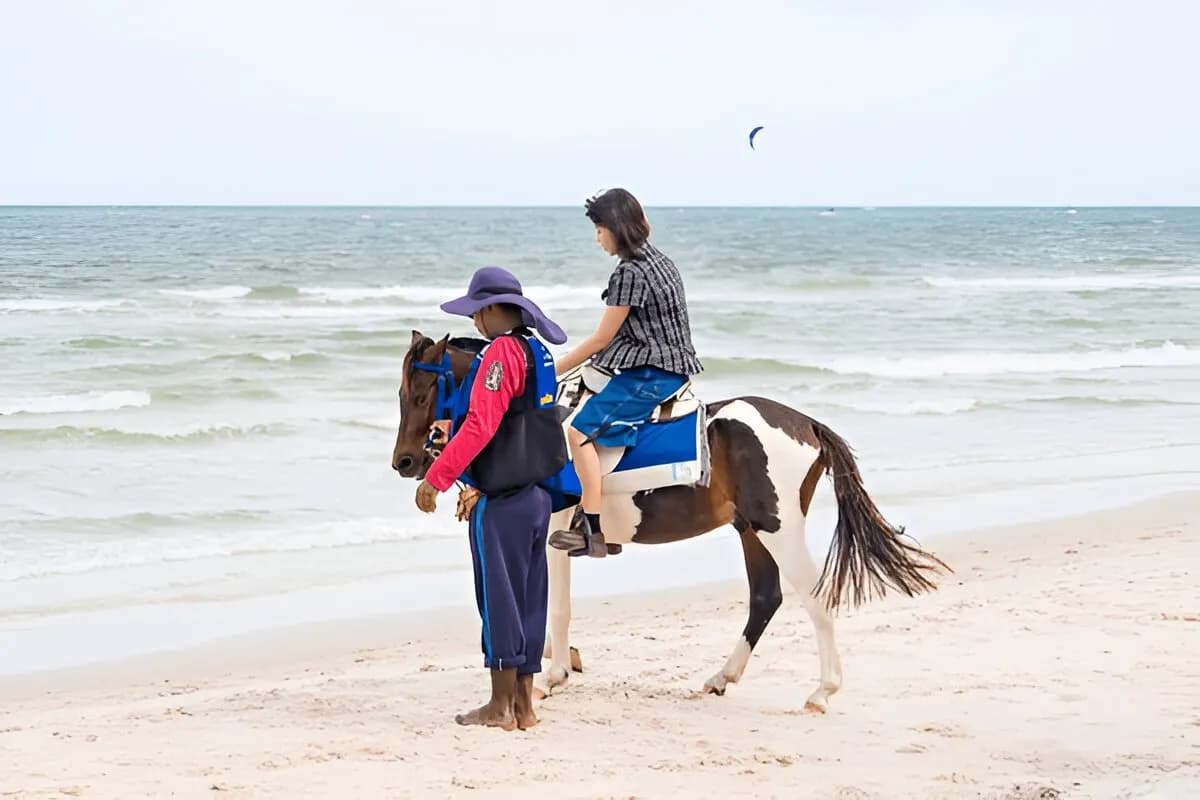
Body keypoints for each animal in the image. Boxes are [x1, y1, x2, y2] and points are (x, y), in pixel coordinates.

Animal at [391, 330, 950, 712]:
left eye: (418, 395)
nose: (405, 462)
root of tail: (807, 423)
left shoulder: (552, 540)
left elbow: (556, 609)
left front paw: (553, 676)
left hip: (779, 530)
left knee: (814, 597)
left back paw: (822, 691)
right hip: (750, 530)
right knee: (765, 598)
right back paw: (722, 678)